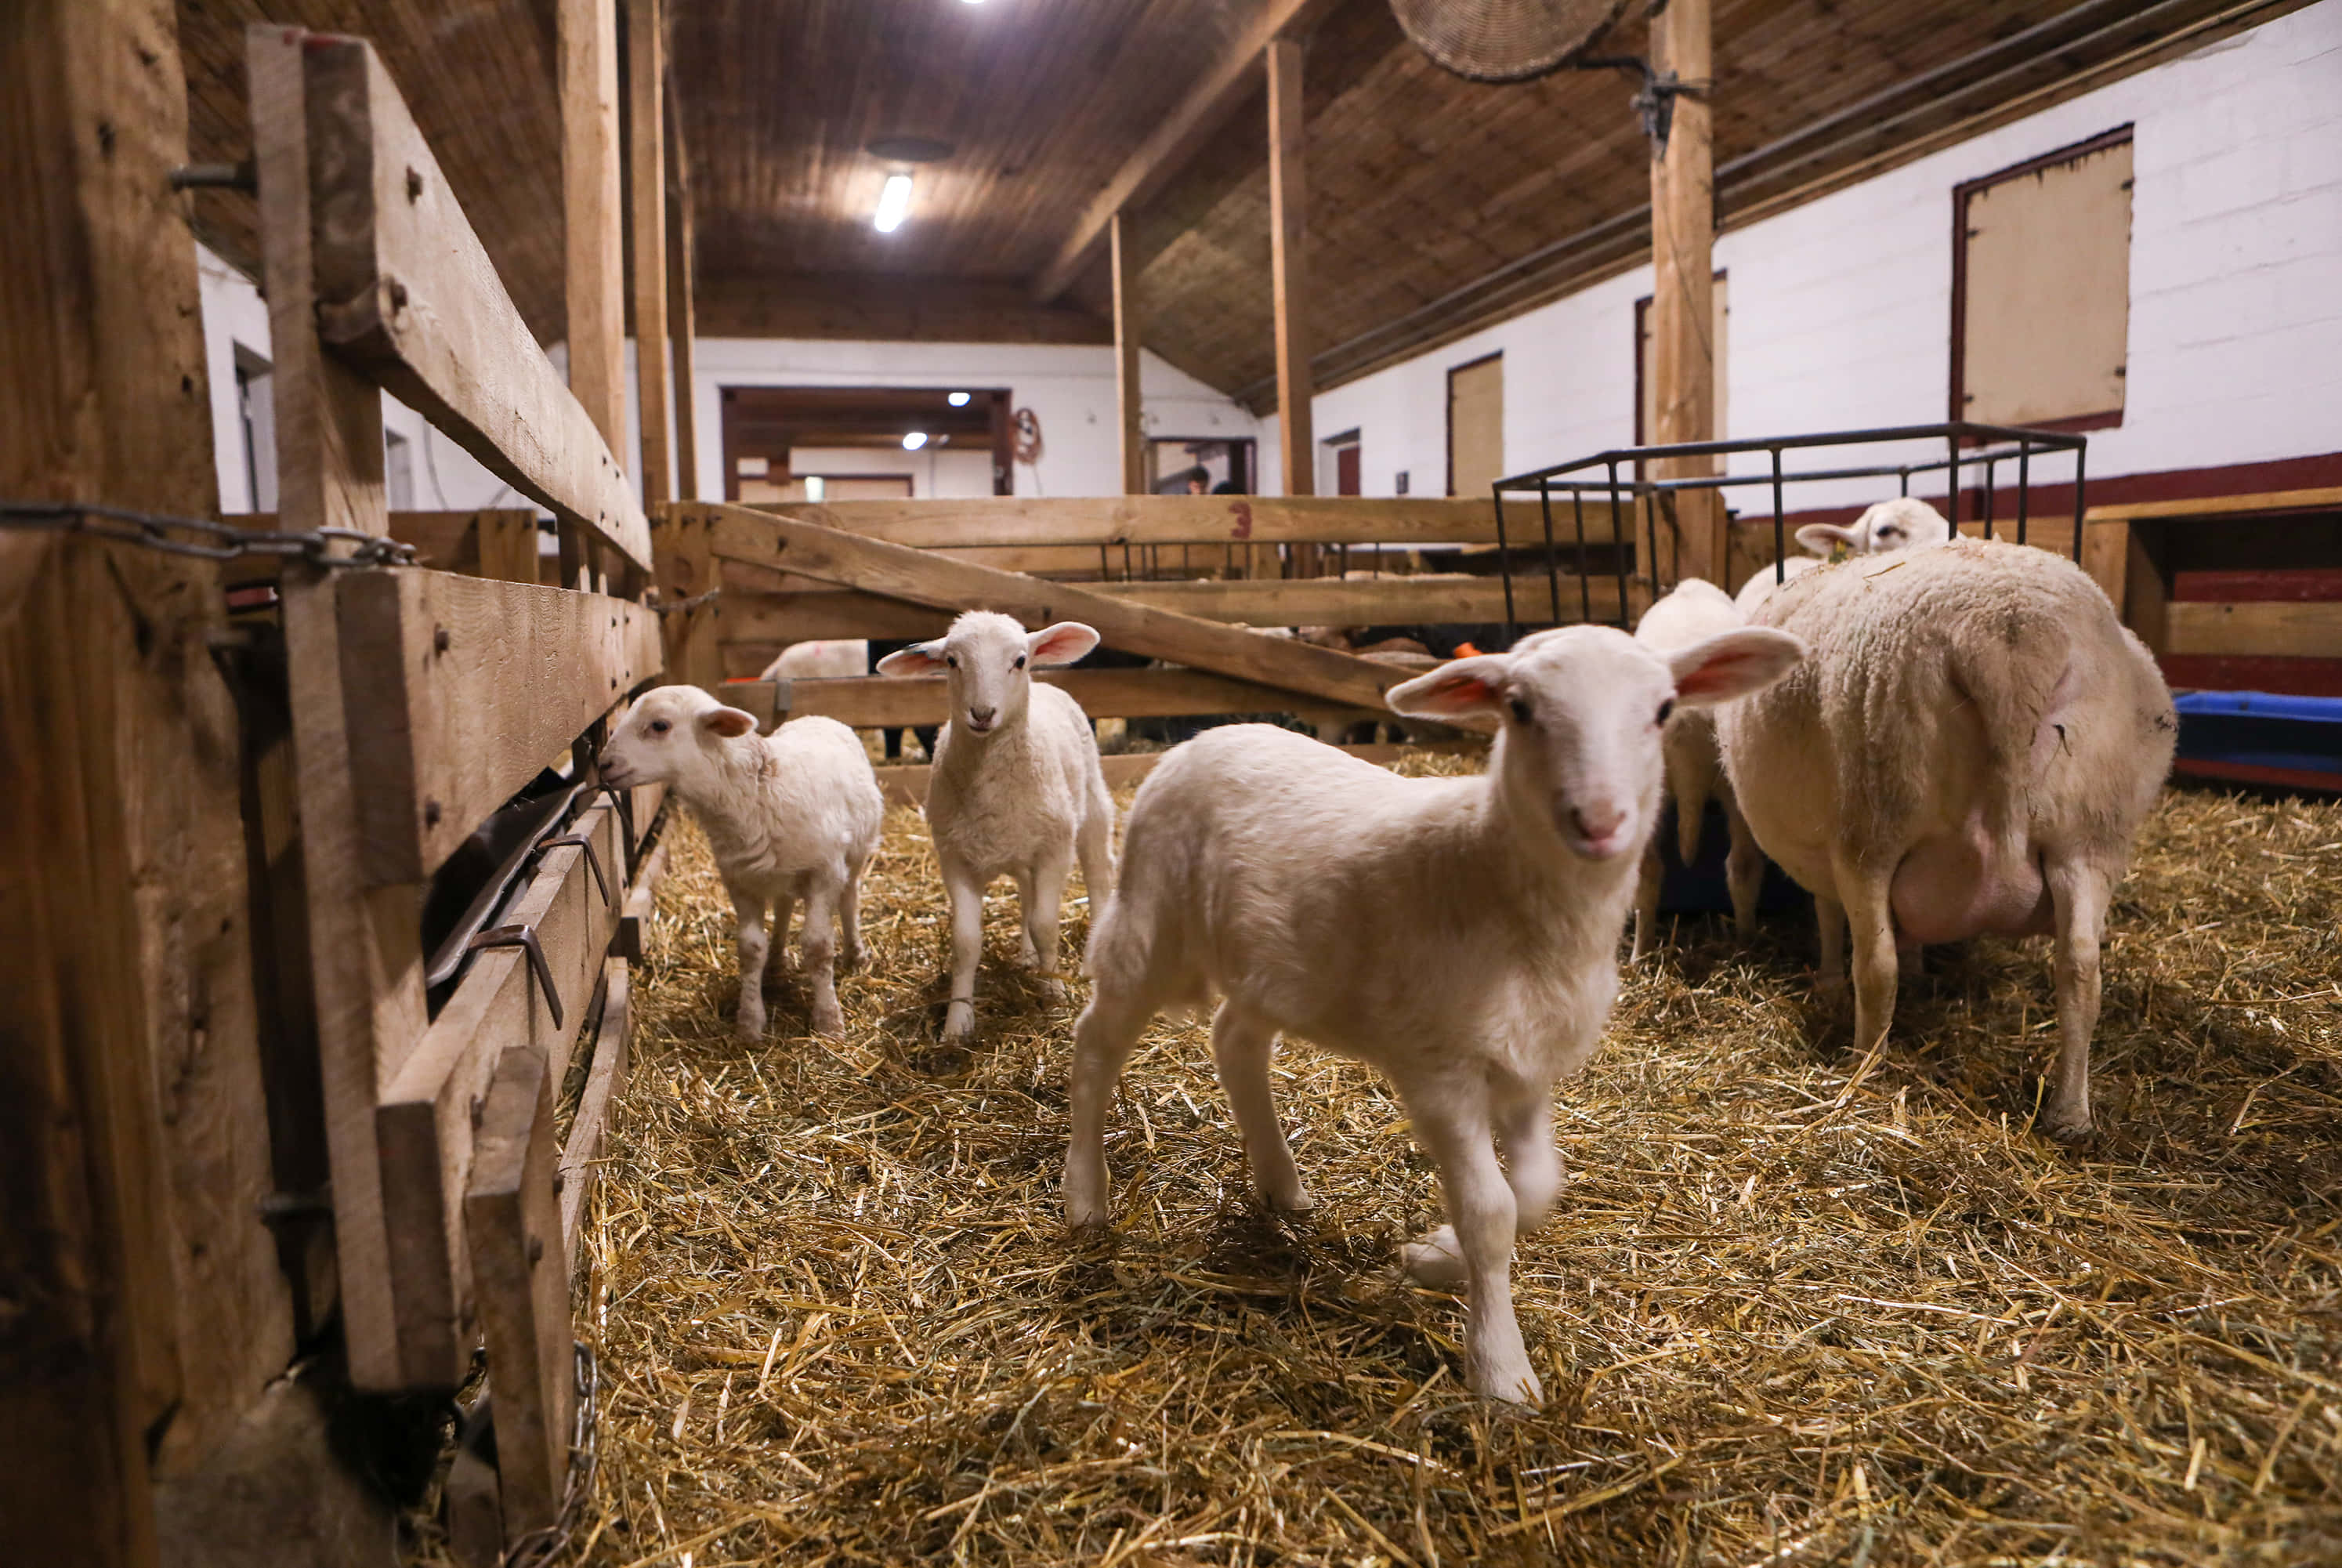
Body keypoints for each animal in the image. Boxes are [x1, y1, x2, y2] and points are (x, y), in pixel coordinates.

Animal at [598, 686, 882, 1040]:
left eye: (660, 725)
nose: (603, 764)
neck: (758, 791)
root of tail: (819, 716)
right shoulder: (739, 879)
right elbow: (750, 948)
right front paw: (749, 1023)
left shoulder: (825, 871)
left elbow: (817, 947)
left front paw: (829, 1021)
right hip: (780, 872)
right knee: (785, 904)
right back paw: (776, 961)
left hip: (855, 854)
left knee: (849, 898)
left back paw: (855, 953)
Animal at [877, 612, 1117, 1041]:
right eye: (952, 661)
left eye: (1019, 660)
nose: (982, 713)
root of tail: (1048, 685)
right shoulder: (953, 857)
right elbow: (966, 942)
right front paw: (957, 1023)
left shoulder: (1054, 850)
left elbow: (1046, 926)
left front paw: (1055, 996)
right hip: (1021, 849)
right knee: (1026, 896)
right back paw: (1026, 959)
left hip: (1091, 808)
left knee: (1098, 876)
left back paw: (1089, 960)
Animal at [1064, 623, 1806, 1404]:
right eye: (1518, 708)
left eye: (1663, 710)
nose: (1598, 821)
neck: (1491, 876)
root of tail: (1206, 736)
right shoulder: (1438, 1067)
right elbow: (1490, 1211)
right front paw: (1502, 1370)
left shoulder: (1527, 1063)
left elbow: (1536, 1189)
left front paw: (1430, 1257)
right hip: (1148, 921)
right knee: (1095, 1043)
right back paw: (1085, 1196)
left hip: (1273, 965)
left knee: (1234, 1041)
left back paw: (1282, 1186)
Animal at [1629, 578, 1767, 957]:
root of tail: (1684, 723)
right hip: (1735, 787)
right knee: (1742, 865)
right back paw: (1746, 941)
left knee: (1648, 872)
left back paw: (1641, 952)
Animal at [1717, 537, 2175, 1138]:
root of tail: (2006, 640)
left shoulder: (1833, 848)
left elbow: (1828, 916)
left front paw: (1830, 980)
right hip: (2090, 834)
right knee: (2079, 968)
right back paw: (2070, 1113)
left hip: (1873, 818)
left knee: (1876, 969)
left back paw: (1859, 1079)